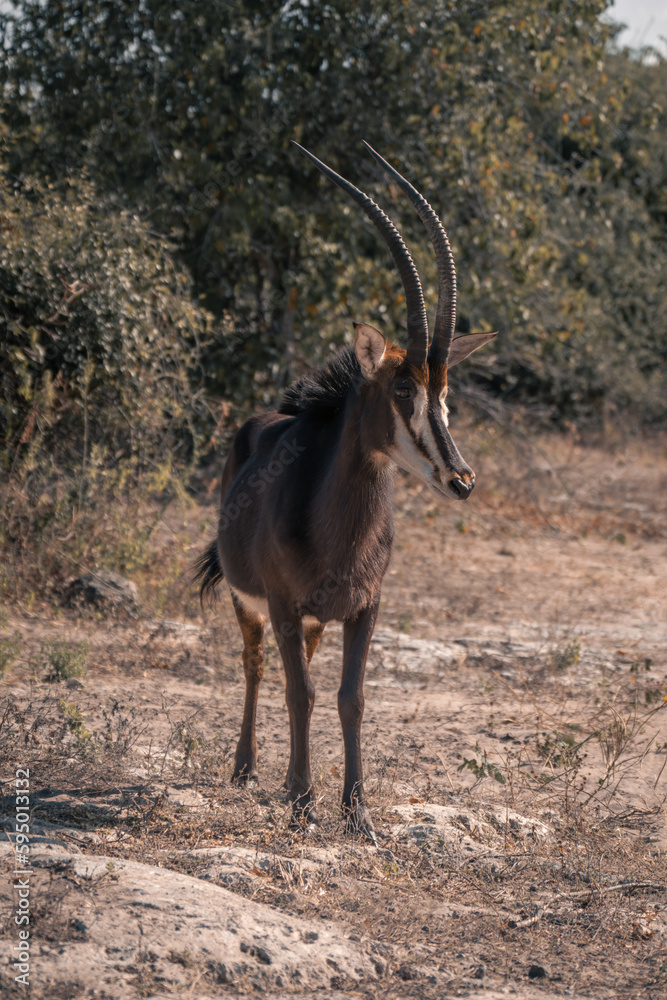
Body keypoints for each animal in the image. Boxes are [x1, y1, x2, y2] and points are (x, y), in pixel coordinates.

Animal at [196, 141, 497, 840]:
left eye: (445, 390)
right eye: (402, 388)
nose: (461, 479)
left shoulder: (366, 606)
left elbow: (349, 697)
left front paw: (357, 812)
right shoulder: (282, 604)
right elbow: (300, 691)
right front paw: (307, 804)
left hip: (314, 619)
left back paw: (282, 778)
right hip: (253, 606)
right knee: (256, 666)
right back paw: (248, 768)